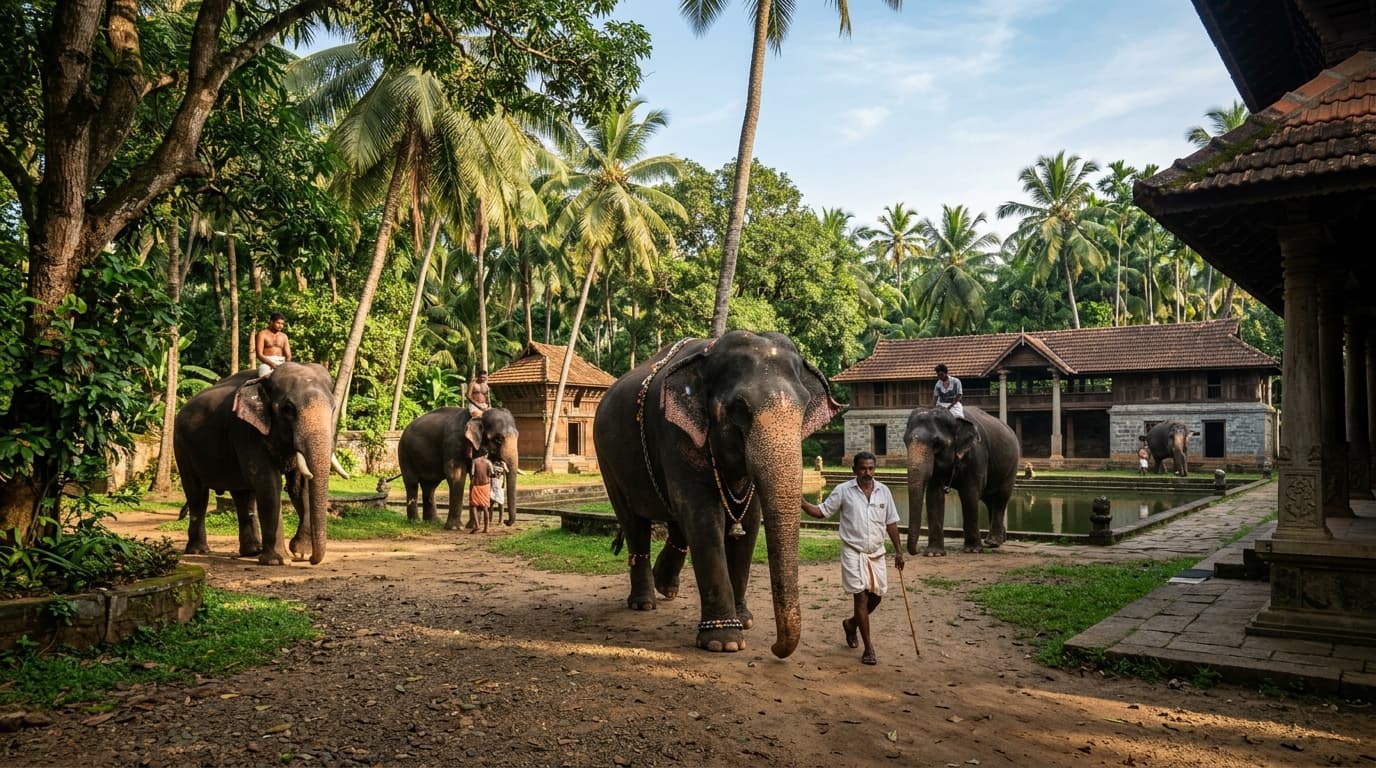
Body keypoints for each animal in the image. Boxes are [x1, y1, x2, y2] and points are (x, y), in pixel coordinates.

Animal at [174, 362, 338, 565]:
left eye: (334, 408)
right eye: (288, 408)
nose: (313, 560)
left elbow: (300, 486)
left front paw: (300, 553)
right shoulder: (246, 430)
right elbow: (268, 483)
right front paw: (278, 561)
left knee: (243, 496)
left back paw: (252, 551)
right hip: (182, 447)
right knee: (197, 495)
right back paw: (198, 551)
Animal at [594, 331, 842, 658]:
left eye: (803, 408)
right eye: (740, 408)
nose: (775, 648)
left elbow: (749, 522)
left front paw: (745, 620)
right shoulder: (674, 433)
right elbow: (703, 517)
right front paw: (724, 642)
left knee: (675, 520)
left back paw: (666, 587)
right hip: (607, 459)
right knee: (634, 522)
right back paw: (644, 603)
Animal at [903, 405, 1021, 556]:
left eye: (937, 444)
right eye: (905, 441)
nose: (917, 549)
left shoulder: (976, 455)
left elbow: (969, 493)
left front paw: (972, 550)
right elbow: (934, 495)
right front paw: (934, 553)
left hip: (1012, 465)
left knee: (1001, 498)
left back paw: (994, 542)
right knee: (990, 500)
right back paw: (997, 540)